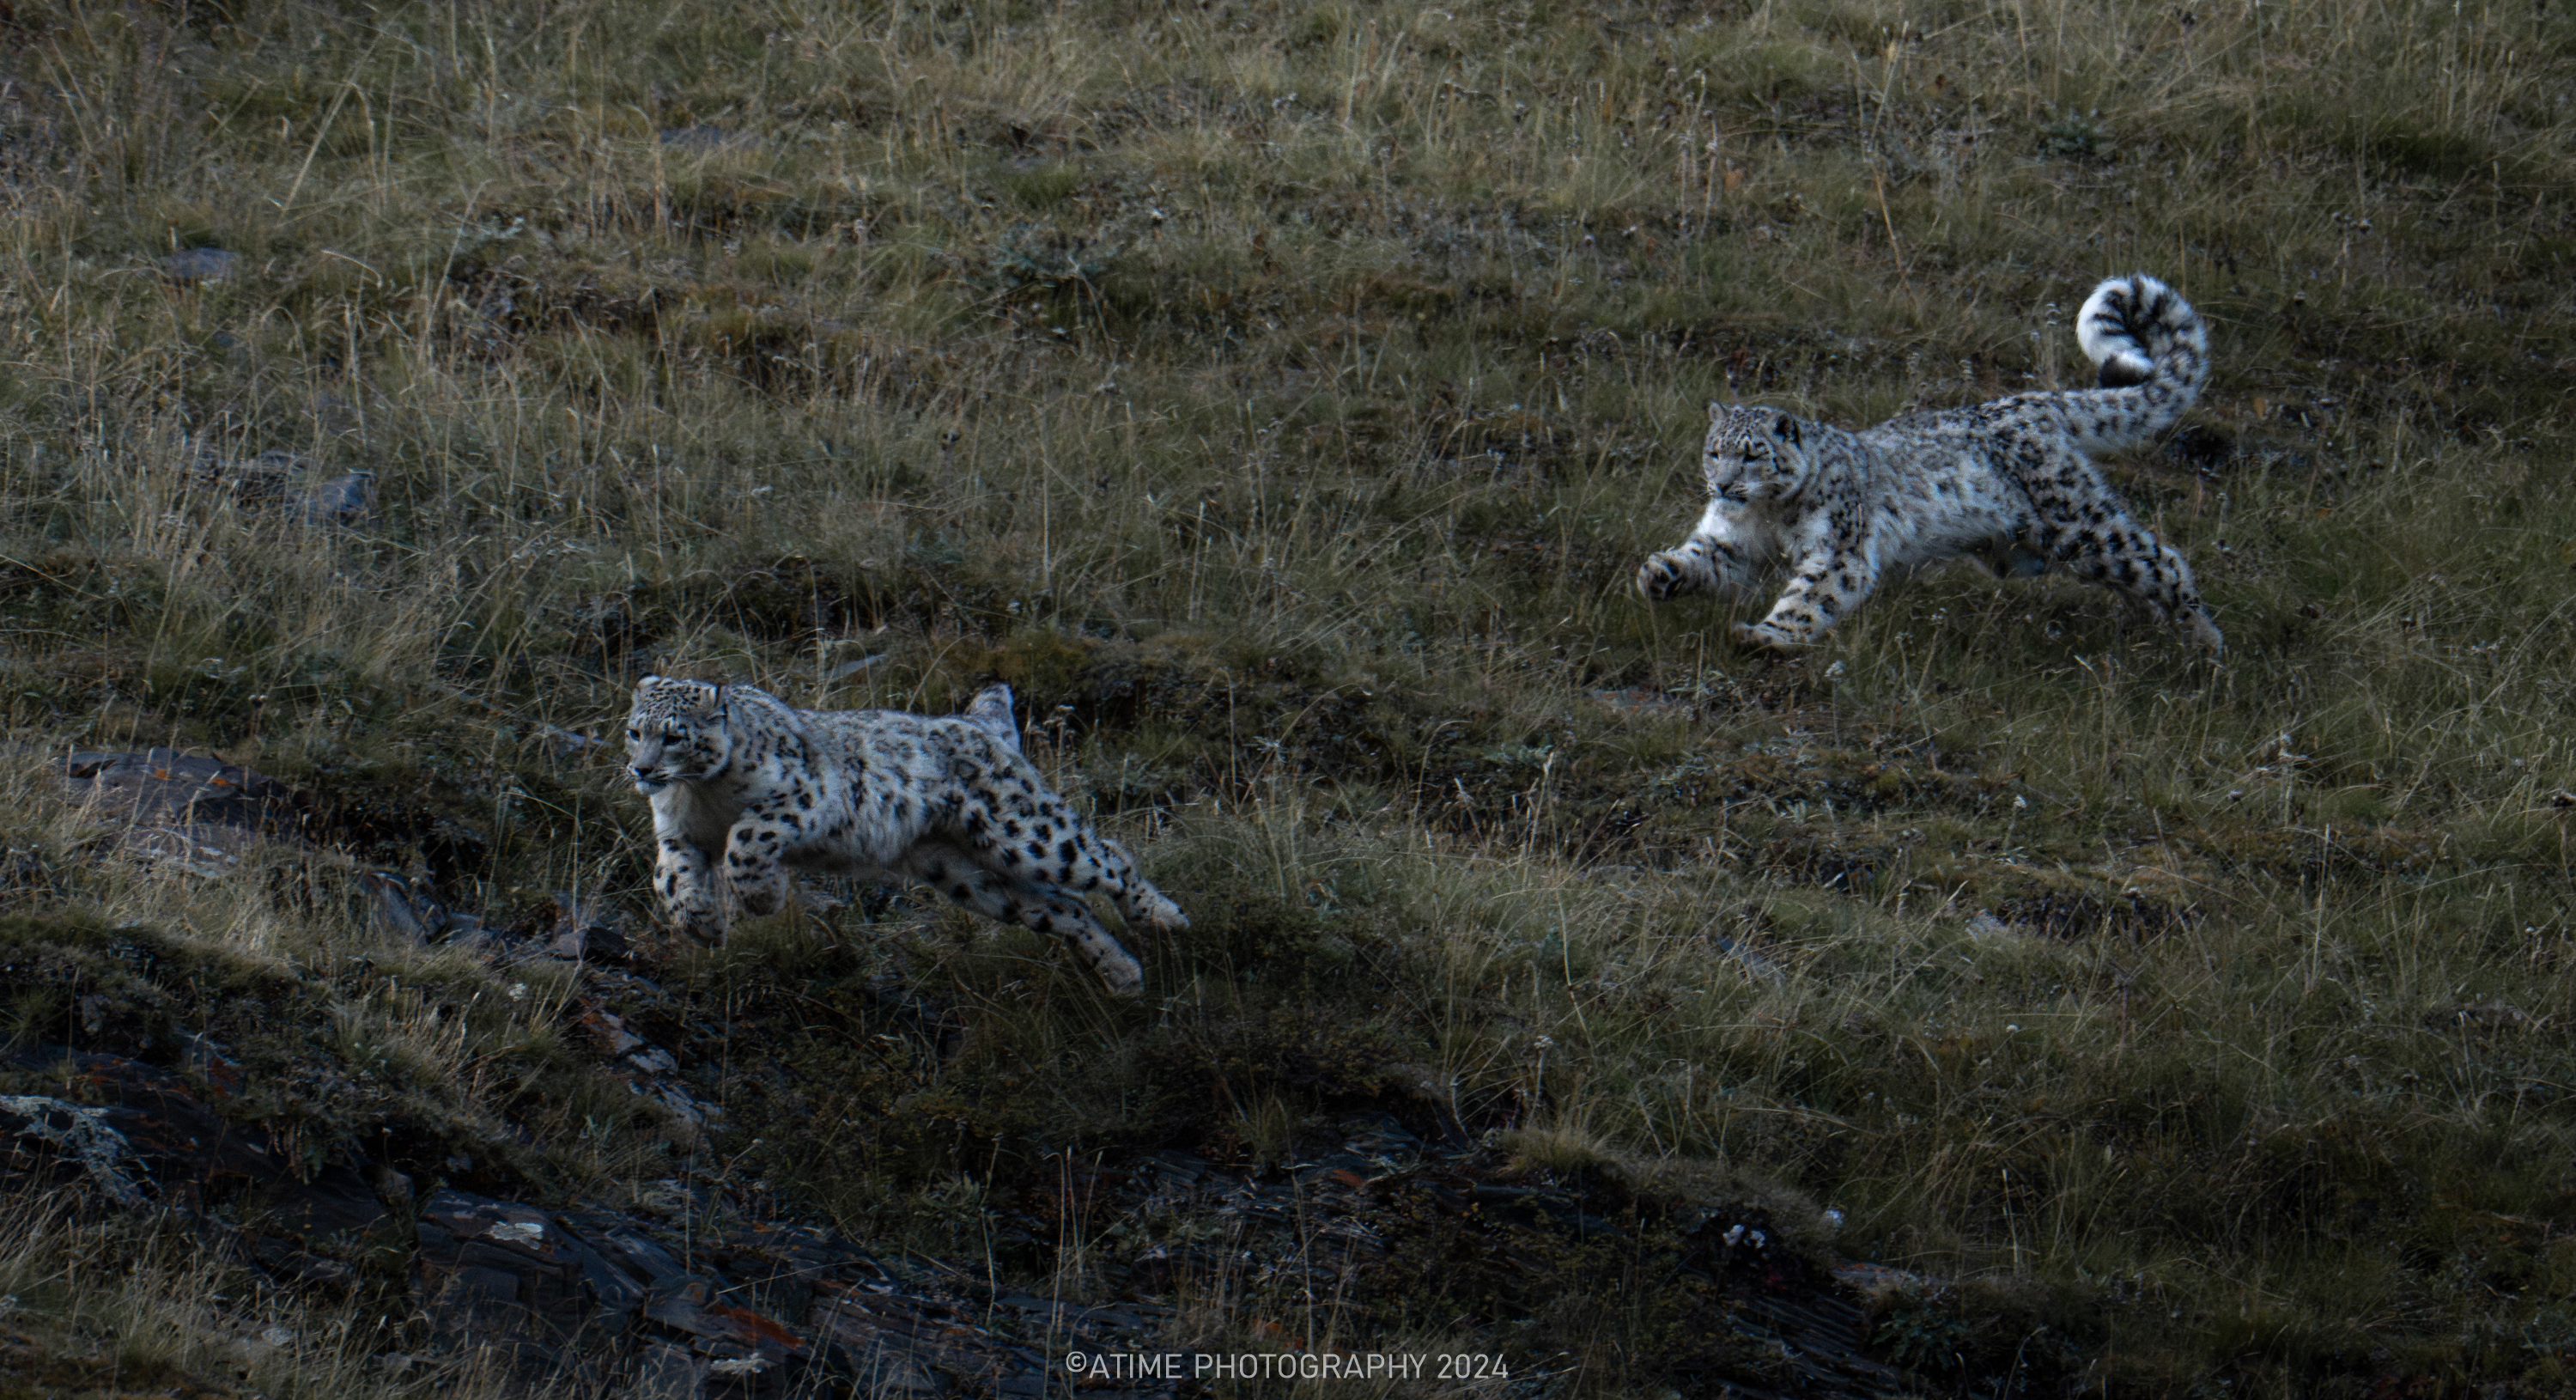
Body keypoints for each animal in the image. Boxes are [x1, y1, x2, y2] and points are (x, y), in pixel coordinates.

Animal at [623, 675, 1186, 997]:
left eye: (673, 735)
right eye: (634, 730)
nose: (641, 769)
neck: (700, 795)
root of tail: (977, 724)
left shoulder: (805, 795)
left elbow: (746, 837)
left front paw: (763, 897)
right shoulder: (677, 833)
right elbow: (668, 876)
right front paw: (700, 923)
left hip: (1025, 833)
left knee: (1106, 856)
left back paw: (1164, 918)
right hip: (967, 876)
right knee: (1065, 907)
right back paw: (1123, 975)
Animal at [1637, 273, 2225, 654]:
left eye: (1753, 455)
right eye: (1715, 451)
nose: (1723, 486)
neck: (1766, 516)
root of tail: (2034, 402)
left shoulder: (1839, 550)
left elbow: (1808, 598)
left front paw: (1766, 636)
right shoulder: (1732, 541)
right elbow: (1705, 557)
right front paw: (1659, 573)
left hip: (2079, 525)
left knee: (2160, 559)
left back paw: (2203, 642)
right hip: (2034, 548)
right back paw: (2151, 625)